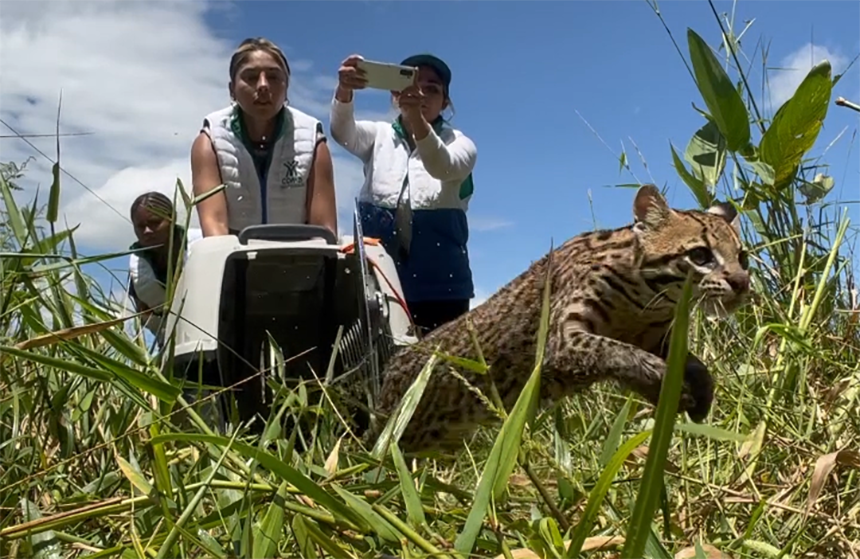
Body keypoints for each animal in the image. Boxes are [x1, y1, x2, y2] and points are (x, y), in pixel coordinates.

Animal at [370, 184, 752, 456]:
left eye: (742, 256)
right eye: (700, 255)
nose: (742, 282)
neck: (644, 302)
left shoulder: (658, 338)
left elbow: (693, 363)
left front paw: (700, 391)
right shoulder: (560, 342)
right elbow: (615, 351)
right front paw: (660, 379)